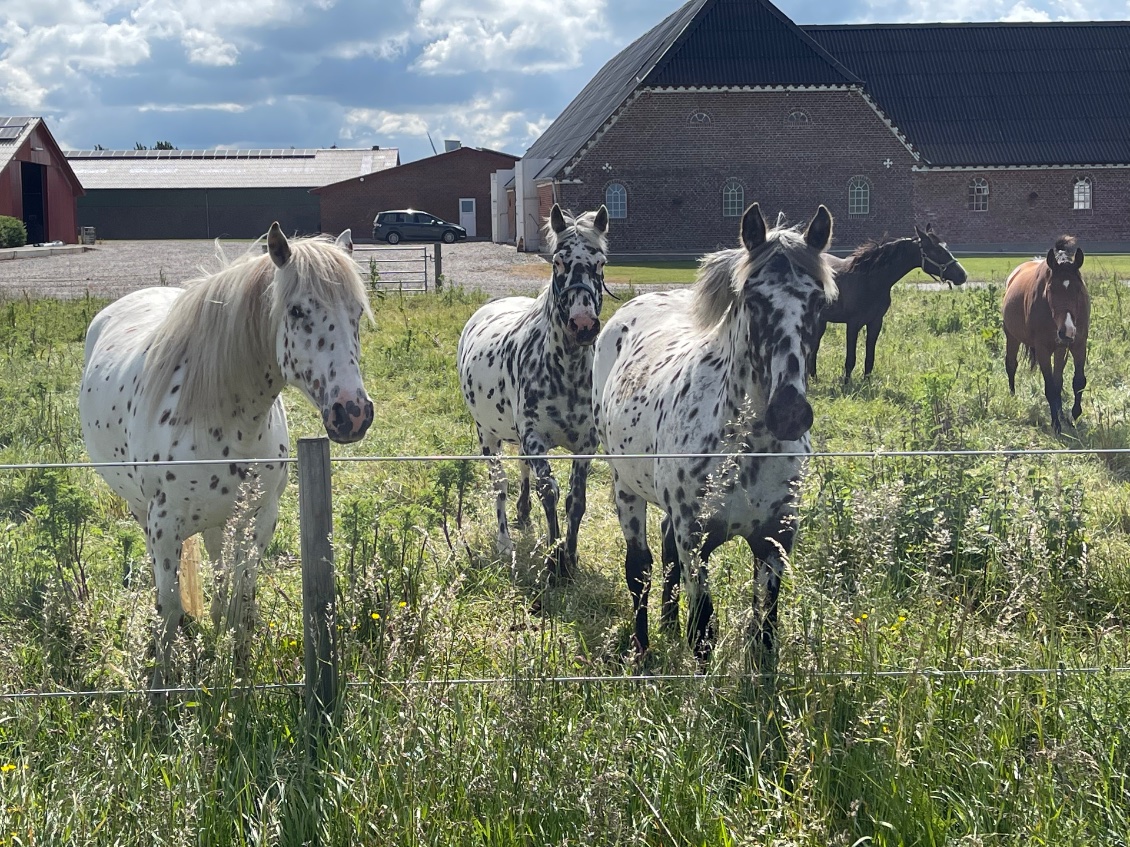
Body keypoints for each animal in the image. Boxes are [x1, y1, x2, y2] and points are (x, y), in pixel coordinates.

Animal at [80, 223, 370, 691]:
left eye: (357, 312)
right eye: (296, 311)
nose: (353, 412)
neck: (228, 422)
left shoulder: (260, 518)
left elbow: (240, 602)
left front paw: (239, 676)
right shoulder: (163, 526)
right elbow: (168, 608)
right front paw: (159, 691)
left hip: (222, 521)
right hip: (144, 513)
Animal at [456, 202, 610, 582]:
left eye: (600, 263)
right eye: (558, 262)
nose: (583, 325)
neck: (565, 371)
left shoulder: (585, 445)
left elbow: (575, 500)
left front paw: (571, 556)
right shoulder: (535, 436)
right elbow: (549, 491)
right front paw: (554, 563)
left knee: (523, 468)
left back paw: (523, 512)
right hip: (487, 436)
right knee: (499, 486)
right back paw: (505, 543)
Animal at [596, 202, 836, 668]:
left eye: (819, 301)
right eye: (753, 300)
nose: (789, 414)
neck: (751, 449)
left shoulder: (774, 541)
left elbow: (765, 635)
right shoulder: (697, 540)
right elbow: (703, 631)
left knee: (665, 559)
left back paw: (666, 626)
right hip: (625, 489)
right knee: (641, 568)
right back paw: (642, 649)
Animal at [809, 225, 967, 383]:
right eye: (938, 250)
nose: (963, 275)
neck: (869, 281)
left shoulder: (876, 322)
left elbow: (869, 358)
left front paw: (867, 383)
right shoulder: (853, 324)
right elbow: (850, 359)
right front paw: (847, 384)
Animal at [1007, 239, 1084, 438]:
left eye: (1078, 289)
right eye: (1050, 289)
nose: (1067, 331)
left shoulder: (1079, 344)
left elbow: (1077, 381)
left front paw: (1073, 416)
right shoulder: (1042, 349)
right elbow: (1050, 387)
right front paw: (1056, 425)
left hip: (1061, 348)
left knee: (1059, 380)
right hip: (1011, 337)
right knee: (1011, 365)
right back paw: (1012, 396)